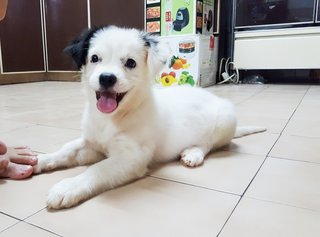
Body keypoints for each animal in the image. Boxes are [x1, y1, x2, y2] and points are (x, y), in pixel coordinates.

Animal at [34, 25, 264, 209]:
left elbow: (97, 169)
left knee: (209, 144)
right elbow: (67, 150)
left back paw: (193, 153)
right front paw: (39, 160)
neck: (114, 117)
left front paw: (68, 187)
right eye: (95, 58)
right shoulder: (92, 144)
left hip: (226, 118)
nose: (106, 78)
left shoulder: (130, 157)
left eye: (130, 63)